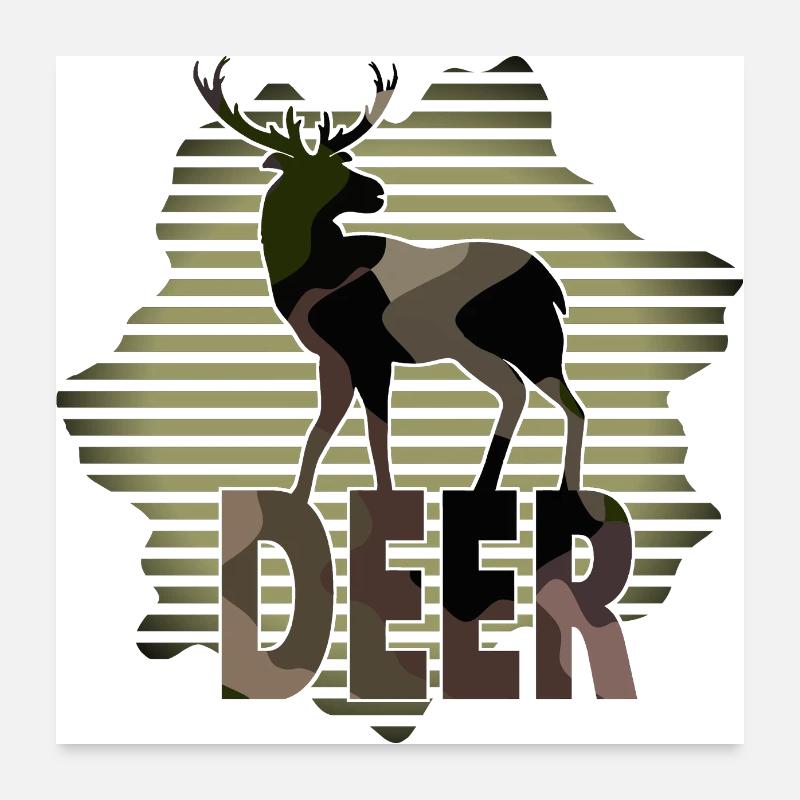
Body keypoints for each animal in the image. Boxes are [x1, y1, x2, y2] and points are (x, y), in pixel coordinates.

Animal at [193, 57, 587, 507]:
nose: (377, 191)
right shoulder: (334, 359)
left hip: (518, 342)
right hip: (497, 348)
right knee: (537, 397)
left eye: (339, 163)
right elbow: (321, 430)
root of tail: (552, 286)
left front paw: (386, 495)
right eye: (315, 170)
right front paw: (298, 497)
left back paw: (550, 488)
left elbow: (376, 430)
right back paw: (505, 486)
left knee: (550, 400)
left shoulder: (369, 355)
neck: (306, 273)